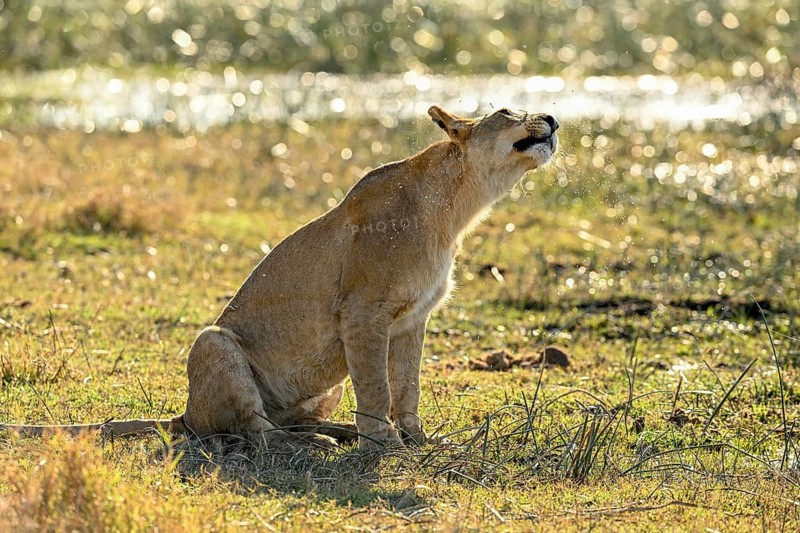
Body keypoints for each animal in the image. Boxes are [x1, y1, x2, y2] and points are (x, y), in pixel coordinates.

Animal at [1, 105, 559, 449]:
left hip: (321, 386)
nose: (554, 117)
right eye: (507, 112)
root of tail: (186, 413)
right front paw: (386, 447)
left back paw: (335, 433)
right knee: (259, 433)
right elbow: (378, 389)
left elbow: (407, 387)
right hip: (213, 342)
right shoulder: (363, 314)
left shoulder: (411, 320)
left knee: (288, 419)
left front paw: (417, 441)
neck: (458, 208)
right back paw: (314, 444)